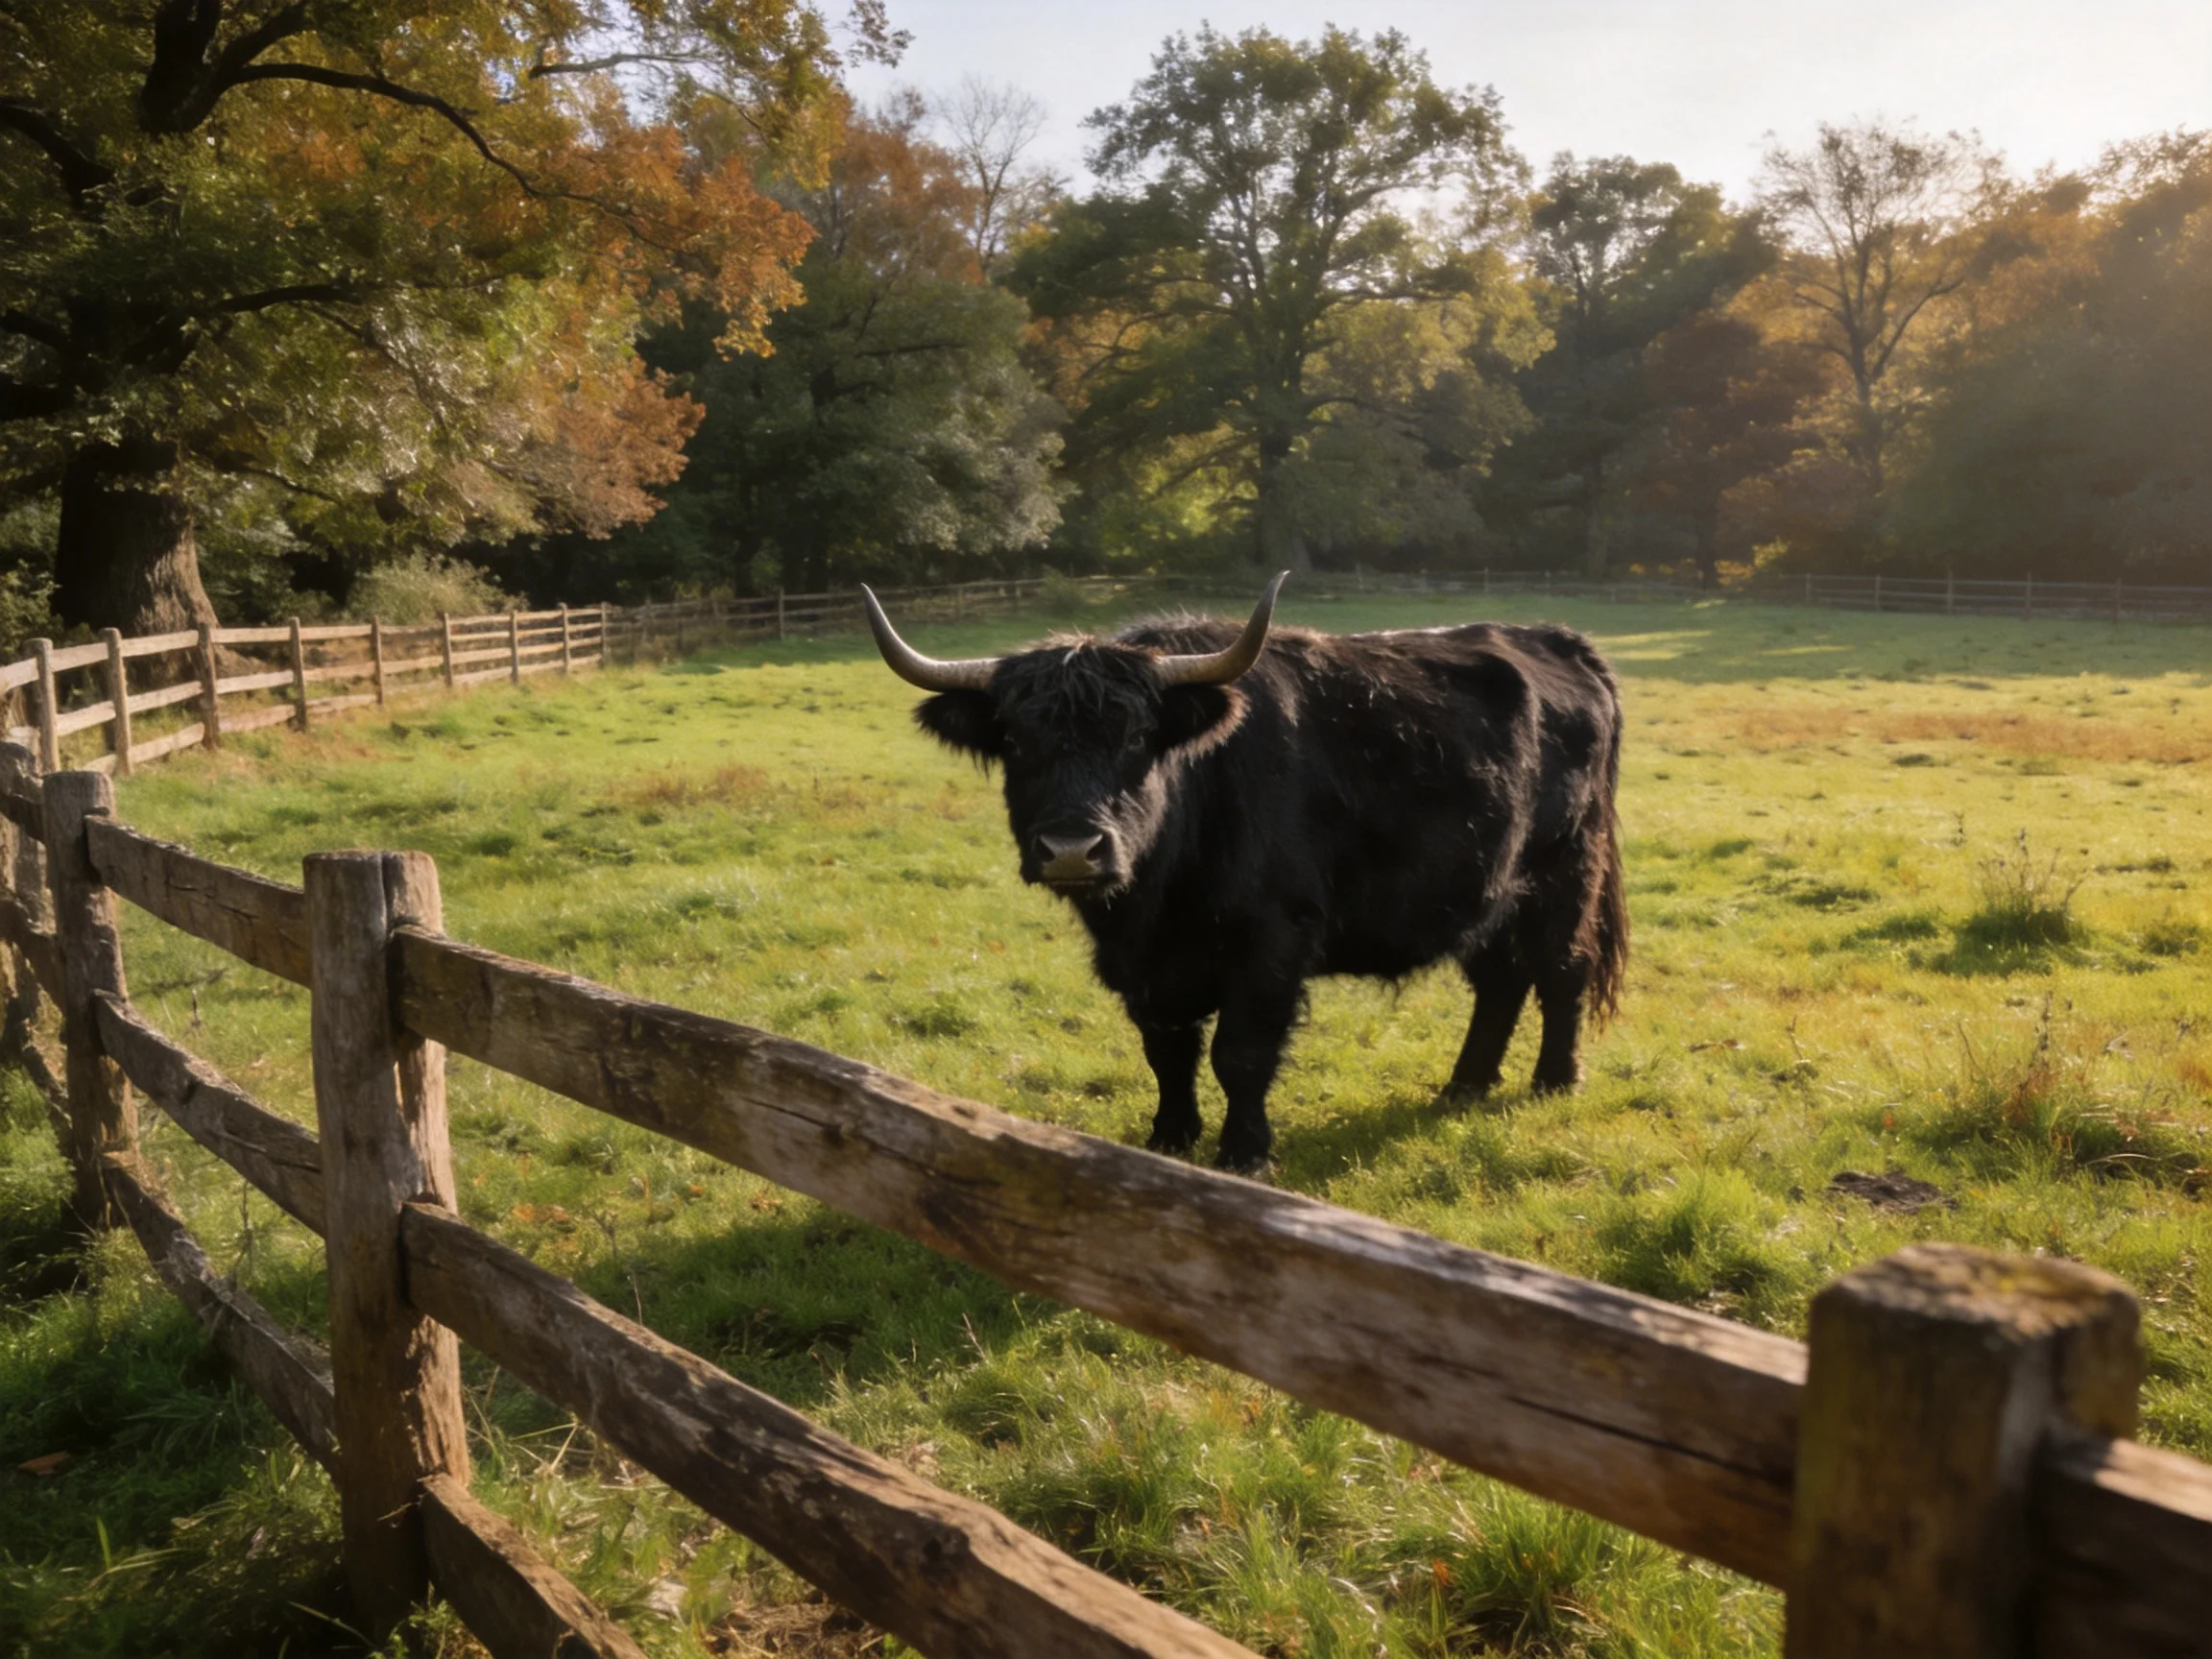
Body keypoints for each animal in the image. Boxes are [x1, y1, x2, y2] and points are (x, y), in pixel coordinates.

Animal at [861, 576, 1628, 1172]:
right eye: (1017, 742)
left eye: (1138, 738)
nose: (1074, 849)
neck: (1156, 901)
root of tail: (1558, 641)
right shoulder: (1145, 968)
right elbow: (1166, 1050)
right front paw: (1169, 1140)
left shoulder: (1272, 943)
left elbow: (1241, 1053)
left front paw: (1245, 1153)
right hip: (1491, 890)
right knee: (1500, 979)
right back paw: (1465, 1086)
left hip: (1565, 874)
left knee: (1562, 969)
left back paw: (1554, 1080)